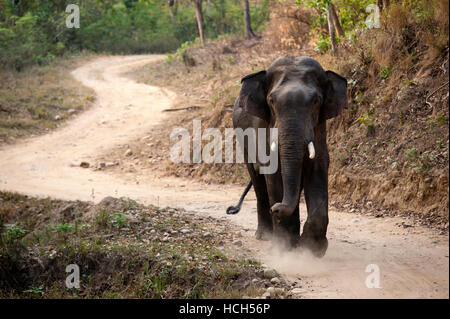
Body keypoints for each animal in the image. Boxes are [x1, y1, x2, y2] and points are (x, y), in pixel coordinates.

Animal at [229, 57, 348, 258]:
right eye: (271, 101)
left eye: (316, 101)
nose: (276, 208)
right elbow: (273, 173)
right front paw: (285, 248)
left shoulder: (319, 128)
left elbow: (317, 170)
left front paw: (312, 250)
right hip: (242, 137)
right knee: (258, 181)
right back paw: (265, 236)